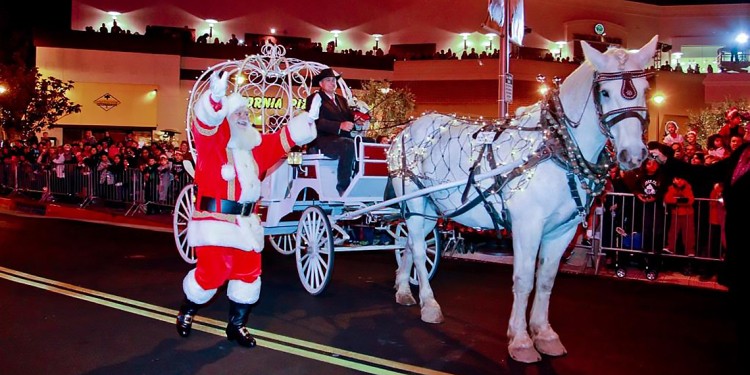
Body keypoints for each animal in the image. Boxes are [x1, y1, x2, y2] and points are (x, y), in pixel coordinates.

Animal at [384, 36, 660, 362]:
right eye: (604, 93)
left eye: (644, 89)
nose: (634, 155)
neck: (557, 146)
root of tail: (405, 129)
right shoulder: (528, 225)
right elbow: (524, 279)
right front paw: (520, 341)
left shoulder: (562, 231)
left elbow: (546, 280)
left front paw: (544, 334)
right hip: (415, 203)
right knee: (415, 246)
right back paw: (429, 304)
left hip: (429, 208)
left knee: (409, 244)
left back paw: (403, 290)